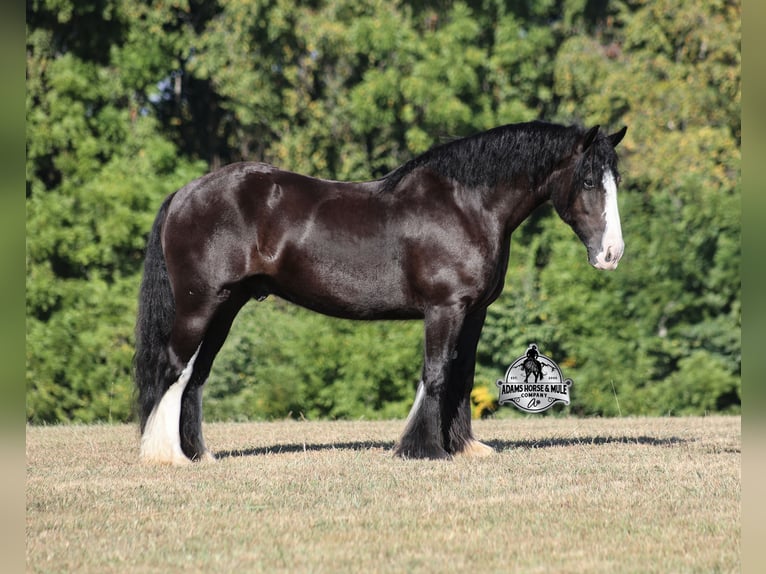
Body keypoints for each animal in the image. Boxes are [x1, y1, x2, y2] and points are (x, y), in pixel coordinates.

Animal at [134, 120, 627, 464]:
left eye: (615, 182)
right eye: (588, 182)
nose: (612, 254)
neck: (465, 205)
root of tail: (184, 194)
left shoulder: (474, 313)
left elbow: (462, 377)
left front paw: (464, 447)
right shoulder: (445, 309)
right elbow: (437, 373)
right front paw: (424, 450)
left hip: (225, 307)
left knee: (195, 376)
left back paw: (199, 454)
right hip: (200, 306)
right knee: (173, 368)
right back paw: (168, 456)